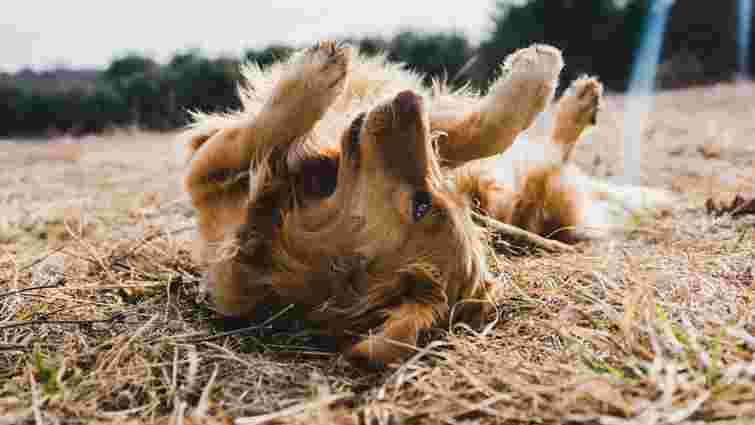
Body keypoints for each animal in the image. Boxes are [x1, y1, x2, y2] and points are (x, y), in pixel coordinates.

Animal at [179, 41, 671, 368]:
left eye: (422, 205)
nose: (410, 99)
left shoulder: (205, 175)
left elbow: (253, 136)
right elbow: (482, 132)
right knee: (550, 156)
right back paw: (581, 100)